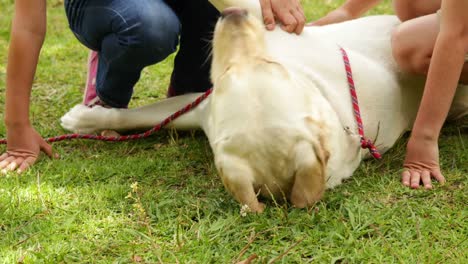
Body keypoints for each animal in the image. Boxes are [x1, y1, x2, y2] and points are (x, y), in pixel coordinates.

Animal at [61, 1, 468, 212]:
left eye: (273, 64)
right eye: (228, 74)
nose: (233, 14)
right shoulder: (202, 105)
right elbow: (146, 115)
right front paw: (89, 119)